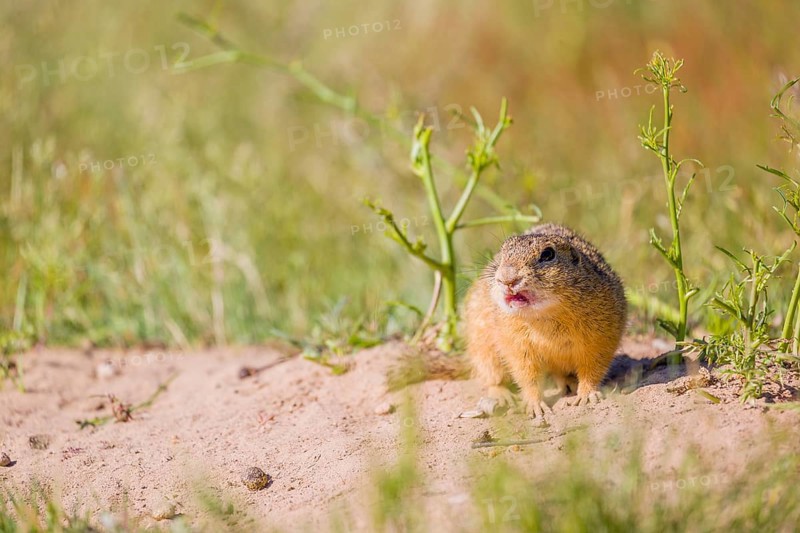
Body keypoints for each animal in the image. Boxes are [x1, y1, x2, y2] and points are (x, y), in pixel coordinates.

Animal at [463, 223, 627, 418]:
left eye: (548, 254)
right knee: (493, 376)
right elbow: (527, 376)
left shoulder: (601, 338)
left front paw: (587, 395)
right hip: (482, 345)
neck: (545, 316)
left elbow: (592, 368)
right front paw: (535, 406)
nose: (506, 279)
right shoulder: (517, 345)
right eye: (502, 253)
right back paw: (503, 396)